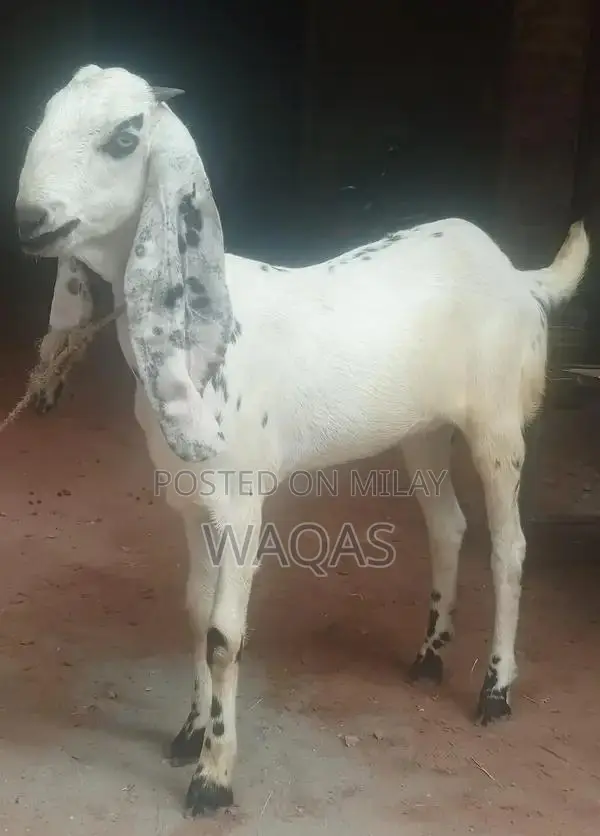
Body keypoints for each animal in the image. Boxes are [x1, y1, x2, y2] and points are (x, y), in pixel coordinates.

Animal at [16, 65, 589, 818]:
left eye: (125, 135)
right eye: (44, 113)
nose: (29, 219)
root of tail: (518, 275)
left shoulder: (240, 501)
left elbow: (224, 637)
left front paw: (213, 778)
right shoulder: (190, 498)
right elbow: (195, 613)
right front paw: (188, 734)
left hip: (496, 424)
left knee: (509, 546)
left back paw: (496, 690)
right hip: (423, 431)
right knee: (448, 525)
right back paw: (429, 656)